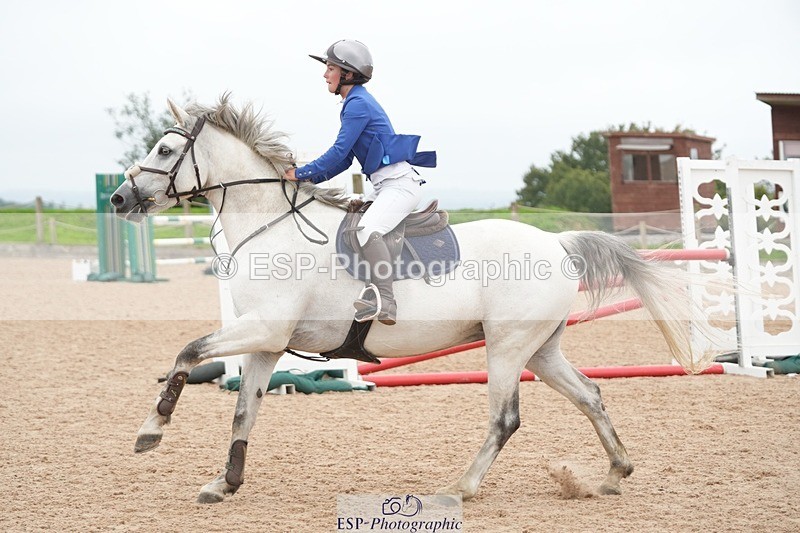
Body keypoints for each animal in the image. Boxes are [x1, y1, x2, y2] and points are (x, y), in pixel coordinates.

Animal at [111, 95, 710, 504]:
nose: (118, 198)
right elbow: (244, 412)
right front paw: (225, 482)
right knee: (590, 394)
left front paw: (149, 432)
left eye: (165, 149)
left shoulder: (263, 328)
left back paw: (461, 487)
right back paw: (613, 473)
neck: (272, 224)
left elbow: (188, 353)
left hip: (507, 348)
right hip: (540, 349)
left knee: (506, 419)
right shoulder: (267, 342)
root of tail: (557, 243)